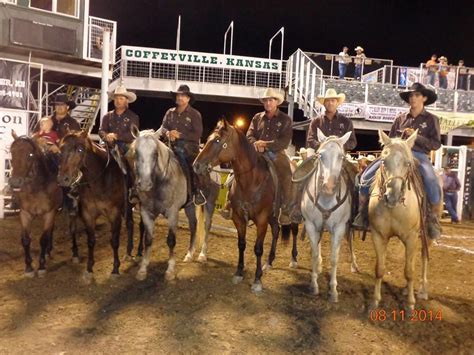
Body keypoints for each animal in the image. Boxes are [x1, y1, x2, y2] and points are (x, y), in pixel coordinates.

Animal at [8, 131, 63, 278]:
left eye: (30, 155)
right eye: (12, 152)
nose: (15, 182)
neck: (37, 187)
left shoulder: (49, 213)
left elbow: (43, 239)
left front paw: (42, 266)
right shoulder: (25, 213)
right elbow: (26, 240)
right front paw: (28, 267)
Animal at [58, 131, 135, 280]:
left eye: (80, 149)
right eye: (61, 149)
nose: (63, 179)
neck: (99, 180)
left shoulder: (114, 214)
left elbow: (114, 240)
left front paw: (115, 269)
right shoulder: (88, 214)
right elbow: (91, 241)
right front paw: (89, 269)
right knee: (130, 223)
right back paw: (129, 252)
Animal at [193, 118, 282, 294]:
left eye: (217, 140)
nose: (196, 165)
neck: (251, 182)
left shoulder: (261, 220)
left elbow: (258, 248)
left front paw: (257, 279)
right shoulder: (238, 218)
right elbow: (241, 245)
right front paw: (239, 272)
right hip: (271, 217)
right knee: (276, 229)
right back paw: (269, 262)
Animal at [302, 129, 358, 302]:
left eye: (341, 156)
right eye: (320, 155)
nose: (329, 186)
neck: (326, 198)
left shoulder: (339, 228)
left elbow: (334, 259)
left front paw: (333, 290)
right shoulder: (310, 225)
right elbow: (314, 254)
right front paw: (314, 285)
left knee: (350, 240)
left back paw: (354, 264)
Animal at [368, 131, 432, 312]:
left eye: (407, 163)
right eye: (383, 161)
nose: (392, 196)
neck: (394, 209)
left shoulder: (411, 237)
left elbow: (409, 271)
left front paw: (410, 304)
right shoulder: (378, 235)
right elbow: (379, 269)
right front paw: (375, 301)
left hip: (425, 235)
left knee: (423, 256)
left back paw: (422, 290)